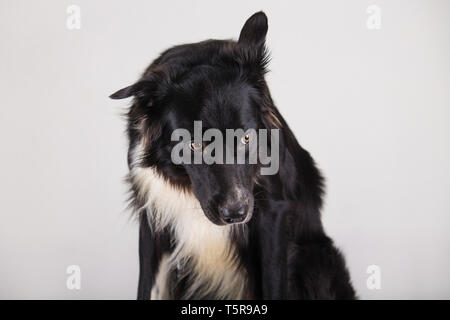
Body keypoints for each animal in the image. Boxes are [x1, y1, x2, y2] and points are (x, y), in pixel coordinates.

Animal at [110, 10, 356, 300]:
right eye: (194, 145)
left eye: (246, 138)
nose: (235, 213)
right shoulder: (152, 214)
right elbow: (146, 286)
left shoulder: (273, 213)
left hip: (315, 259)